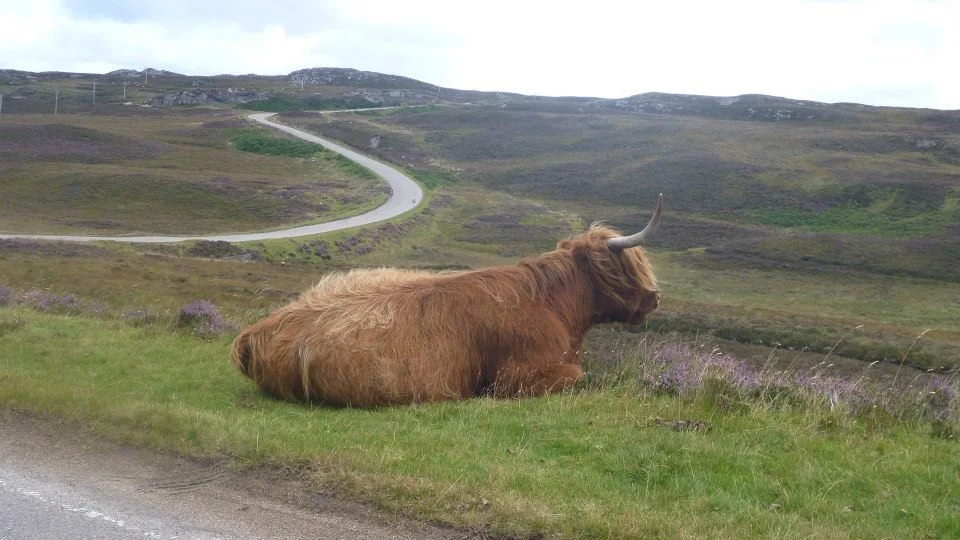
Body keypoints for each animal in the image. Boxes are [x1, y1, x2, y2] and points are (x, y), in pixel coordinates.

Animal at [231, 194, 663, 407]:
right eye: (631, 267)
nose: (654, 300)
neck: (554, 306)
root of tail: (257, 329)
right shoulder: (518, 378)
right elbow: (581, 377)